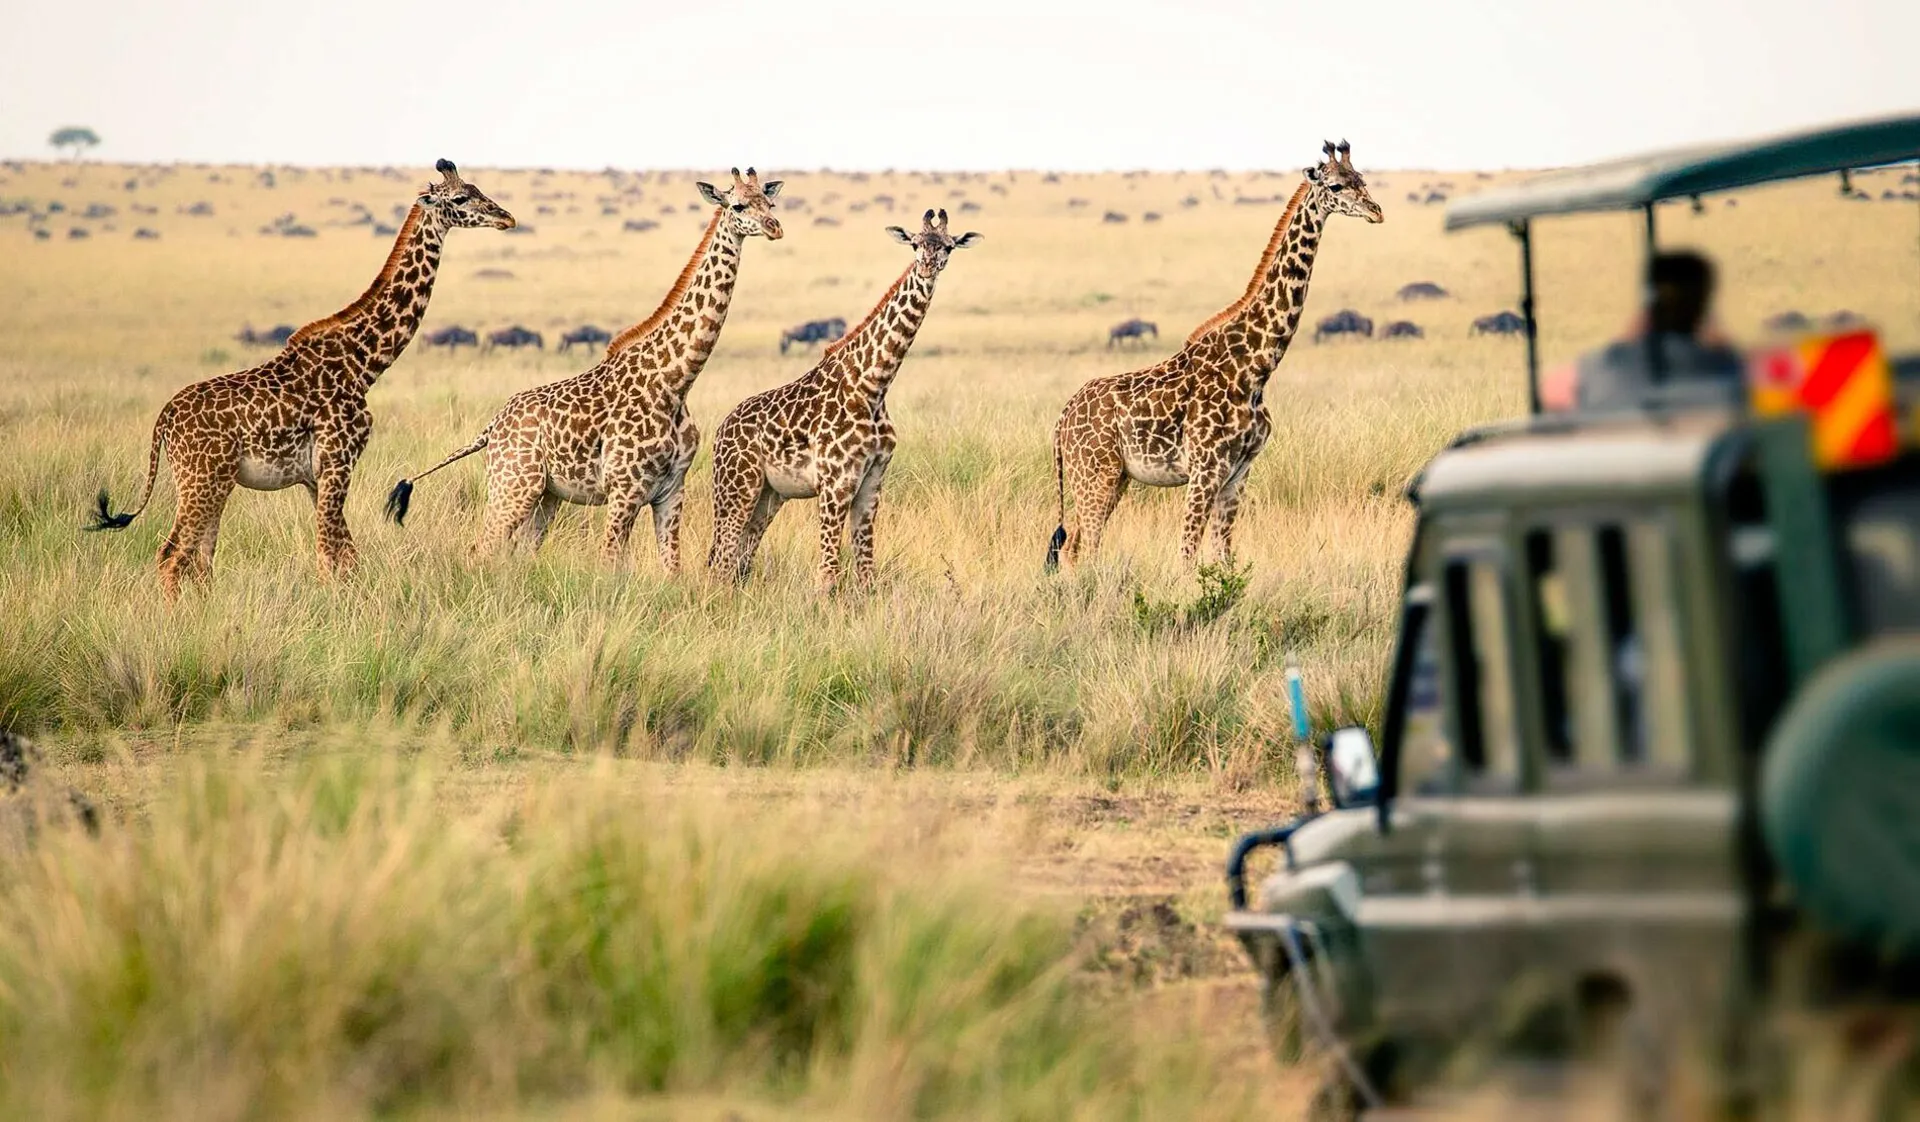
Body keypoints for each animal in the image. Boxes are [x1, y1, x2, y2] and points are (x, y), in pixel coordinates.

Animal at [86, 160, 515, 599]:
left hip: (212, 481)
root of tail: (164, 421)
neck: (363, 364)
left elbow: (344, 555)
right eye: (460, 198)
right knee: (173, 555)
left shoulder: (315, 477)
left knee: (200, 560)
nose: (506, 218)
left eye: (477, 189)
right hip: (202, 479)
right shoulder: (338, 462)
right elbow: (330, 554)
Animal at [384, 168, 782, 571]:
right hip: (513, 484)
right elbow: (610, 563)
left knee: (520, 550)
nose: (774, 227)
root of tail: (491, 428)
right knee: (482, 547)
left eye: (770, 202)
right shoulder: (624, 490)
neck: (675, 380)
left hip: (546, 495)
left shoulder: (671, 490)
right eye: (738, 205)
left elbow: (672, 568)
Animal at [707, 209, 980, 592]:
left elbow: (866, 572)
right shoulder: (835, 481)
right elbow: (828, 575)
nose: (927, 266)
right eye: (915, 243)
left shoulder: (872, 481)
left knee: (739, 560)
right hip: (736, 487)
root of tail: (720, 431)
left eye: (948, 247)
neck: (874, 384)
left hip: (768, 495)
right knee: (721, 560)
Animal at [1045, 141, 1382, 571]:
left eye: (1362, 179)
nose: (1377, 211)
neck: (1256, 367)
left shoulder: (1238, 472)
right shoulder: (1206, 469)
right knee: (1086, 547)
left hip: (1112, 476)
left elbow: (1223, 556)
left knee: (1072, 547)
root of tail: (1062, 421)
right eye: (1336, 186)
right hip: (1094, 474)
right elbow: (1187, 554)